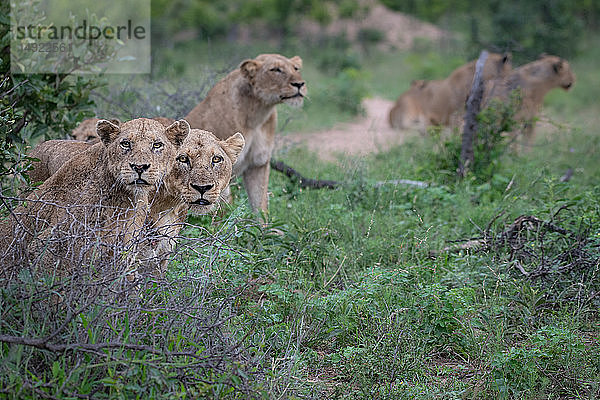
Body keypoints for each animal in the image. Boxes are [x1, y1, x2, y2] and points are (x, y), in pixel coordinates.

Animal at [183, 54, 308, 216]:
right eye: (275, 69)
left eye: (296, 68)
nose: (299, 84)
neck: (257, 113)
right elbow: (223, 209)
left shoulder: (258, 163)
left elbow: (260, 204)